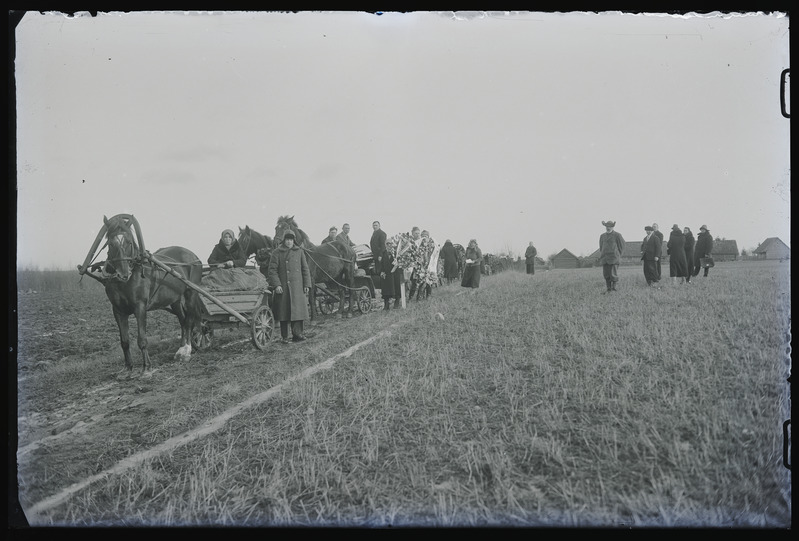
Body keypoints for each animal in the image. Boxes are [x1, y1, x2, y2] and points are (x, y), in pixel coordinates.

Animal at [77, 213, 203, 374]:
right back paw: (182, 348)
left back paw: (186, 350)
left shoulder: (140, 307)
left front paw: (146, 368)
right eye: (110, 243)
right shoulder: (117, 310)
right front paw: (127, 368)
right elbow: (124, 341)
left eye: (129, 242)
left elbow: (142, 339)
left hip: (191, 292)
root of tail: (193, 255)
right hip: (174, 299)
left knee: (189, 319)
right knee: (183, 320)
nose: (123, 274)